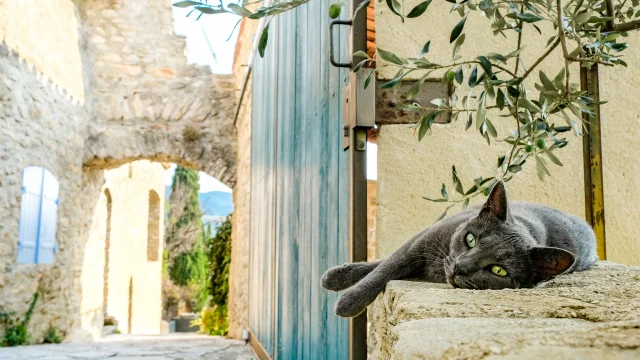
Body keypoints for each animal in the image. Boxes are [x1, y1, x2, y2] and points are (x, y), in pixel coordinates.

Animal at [322, 183, 596, 318]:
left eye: (498, 271)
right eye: (471, 240)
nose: (460, 267)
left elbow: (386, 268)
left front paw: (346, 301)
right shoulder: (422, 241)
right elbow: (385, 269)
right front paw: (345, 293)